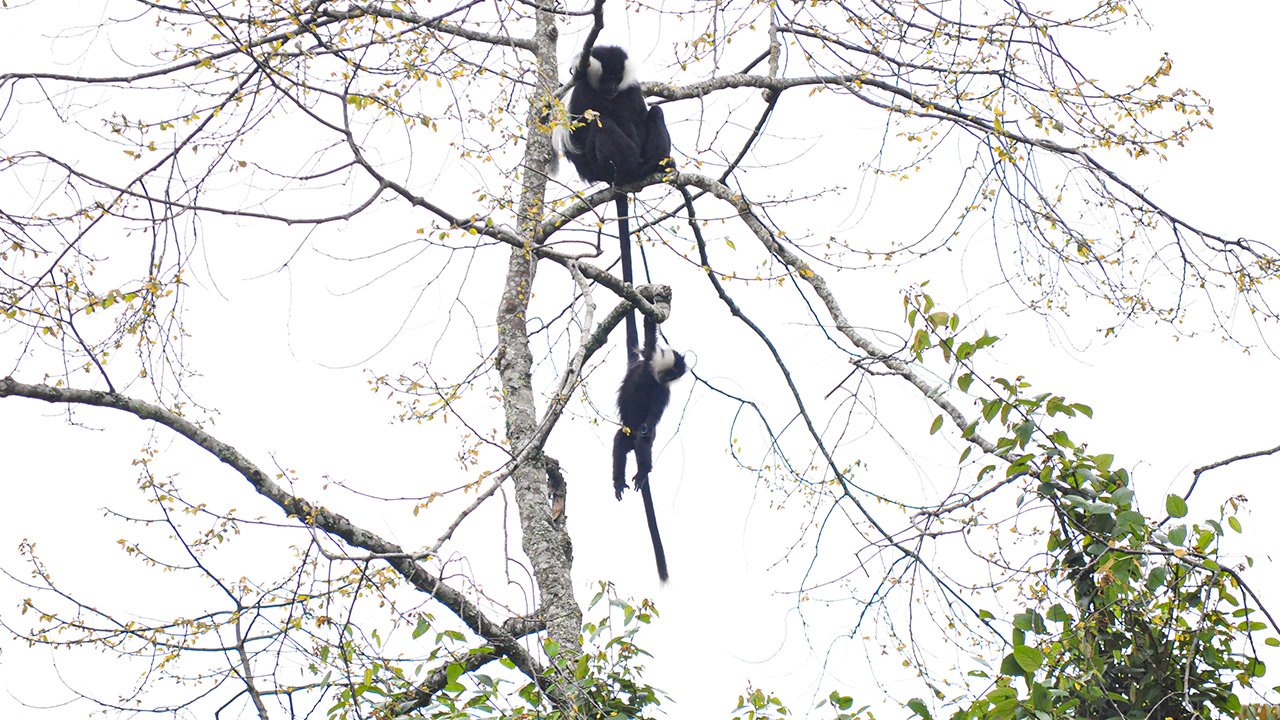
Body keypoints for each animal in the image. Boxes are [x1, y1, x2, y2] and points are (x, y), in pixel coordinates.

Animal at [611, 311, 686, 579]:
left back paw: (643, 471)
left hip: (641, 440)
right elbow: (649, 332)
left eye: (674, 377)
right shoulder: (649, 354)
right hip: (626, 434)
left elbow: (653, 415)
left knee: (643, 443)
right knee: (619, 444)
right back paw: (618, 481)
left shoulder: (662, 392)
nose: (668, 378)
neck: (651, 374)